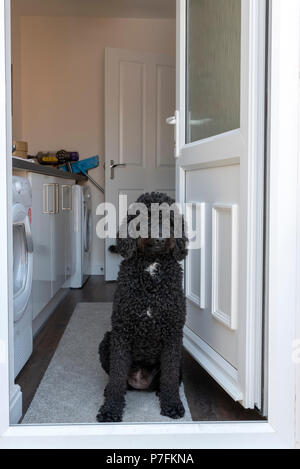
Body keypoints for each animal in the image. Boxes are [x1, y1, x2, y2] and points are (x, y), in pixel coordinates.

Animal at [97, 192, 189, 422]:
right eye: (144, 217)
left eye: (169, 219)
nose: (160, 237)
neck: (151, 270)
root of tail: (141, 381)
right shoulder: (121, 332)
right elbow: (117, 376)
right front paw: (111, 410)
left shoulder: (173, 335)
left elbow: (169, 376)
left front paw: (172, 405)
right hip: (107, 340)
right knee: (117, 380)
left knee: (170, 378)